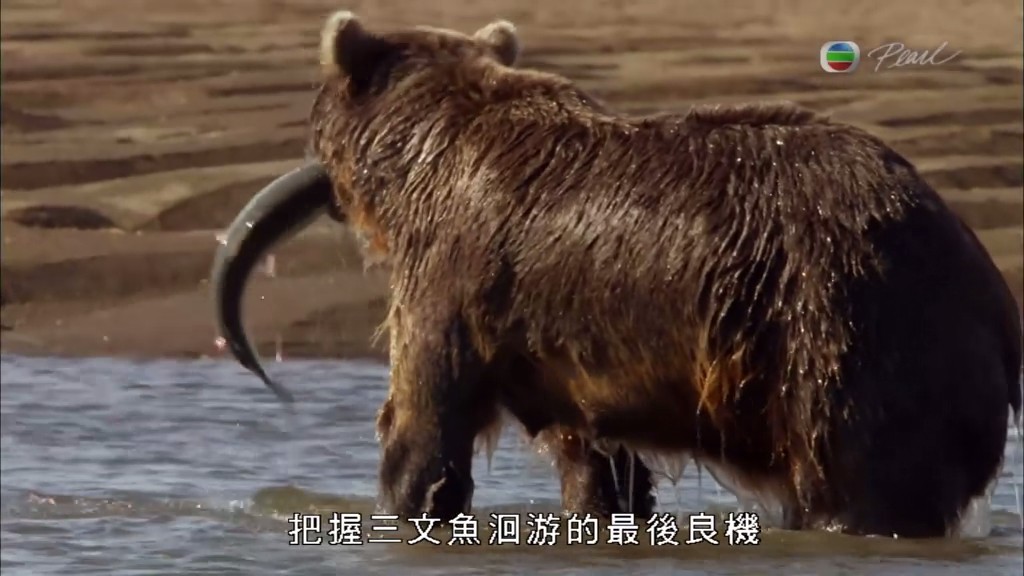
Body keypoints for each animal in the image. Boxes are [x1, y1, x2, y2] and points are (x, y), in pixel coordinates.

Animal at [210, 11, 1023, 539]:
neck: (420, 163)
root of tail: (991, 292)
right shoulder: (576, 353)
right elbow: (598, 468)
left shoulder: (451, 276)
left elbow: (424, 427)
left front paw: (403, 500)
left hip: (844, 334)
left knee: (862, 484)